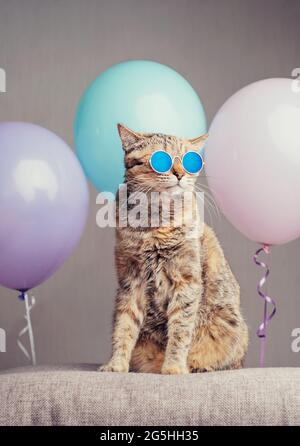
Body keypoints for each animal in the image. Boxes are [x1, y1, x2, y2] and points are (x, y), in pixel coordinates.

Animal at [99, 123, 248, 374]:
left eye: (190, 161)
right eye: (161, 159)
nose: (180, 173)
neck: (155, 225)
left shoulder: (186, 281)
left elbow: (180, 331)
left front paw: (174, 367)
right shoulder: (130, 280)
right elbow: (124, 327)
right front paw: (116, 363)